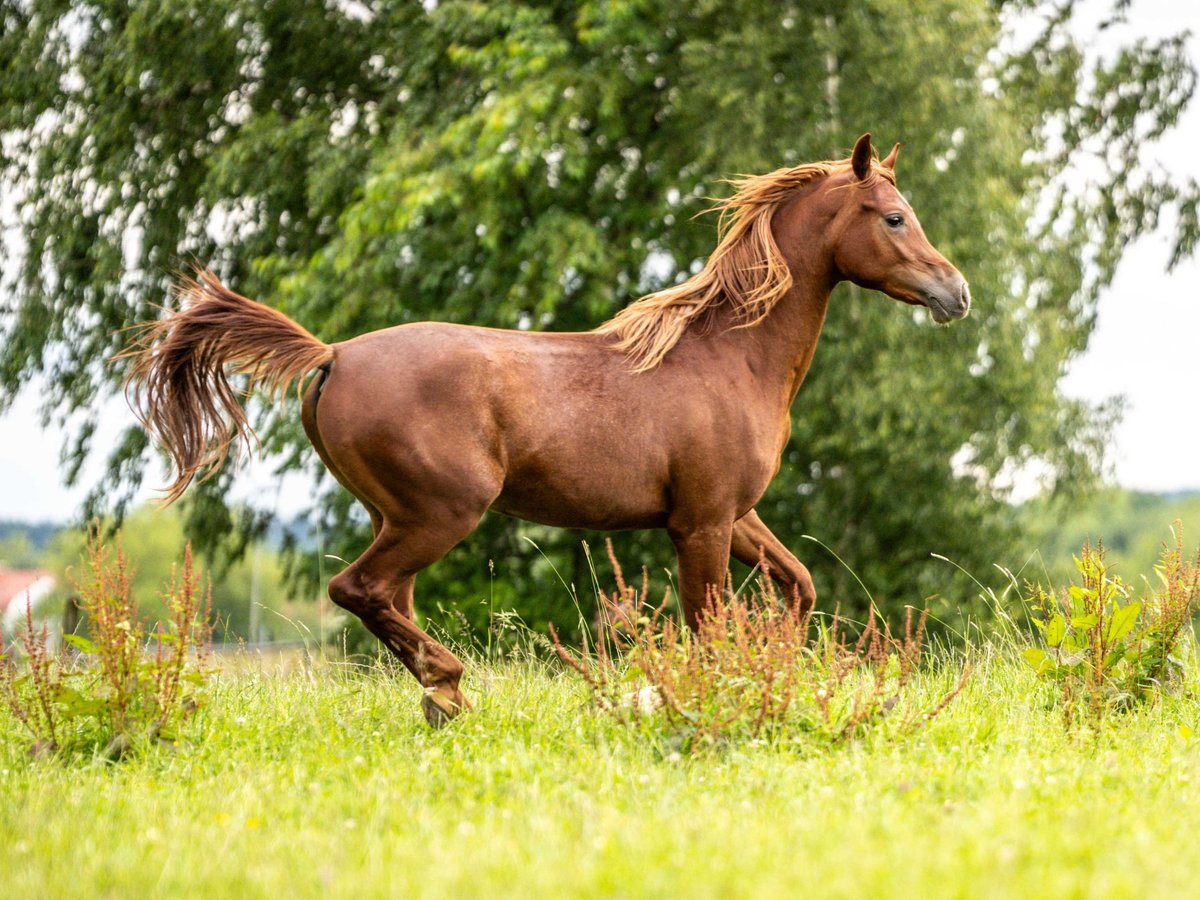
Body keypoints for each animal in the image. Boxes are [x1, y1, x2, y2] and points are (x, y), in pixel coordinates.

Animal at [124, 132, 964, 724]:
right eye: (895, 217)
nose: (956, 293)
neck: (728, 355)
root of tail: (332, 355)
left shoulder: (734, 515)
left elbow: (798, 587)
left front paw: (774, 667)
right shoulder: (700, 524)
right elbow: (708, 625)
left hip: (399, 517)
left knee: (388, 596)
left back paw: (441, 698)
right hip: (442, 512)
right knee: (356, 588)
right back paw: (449, 685)